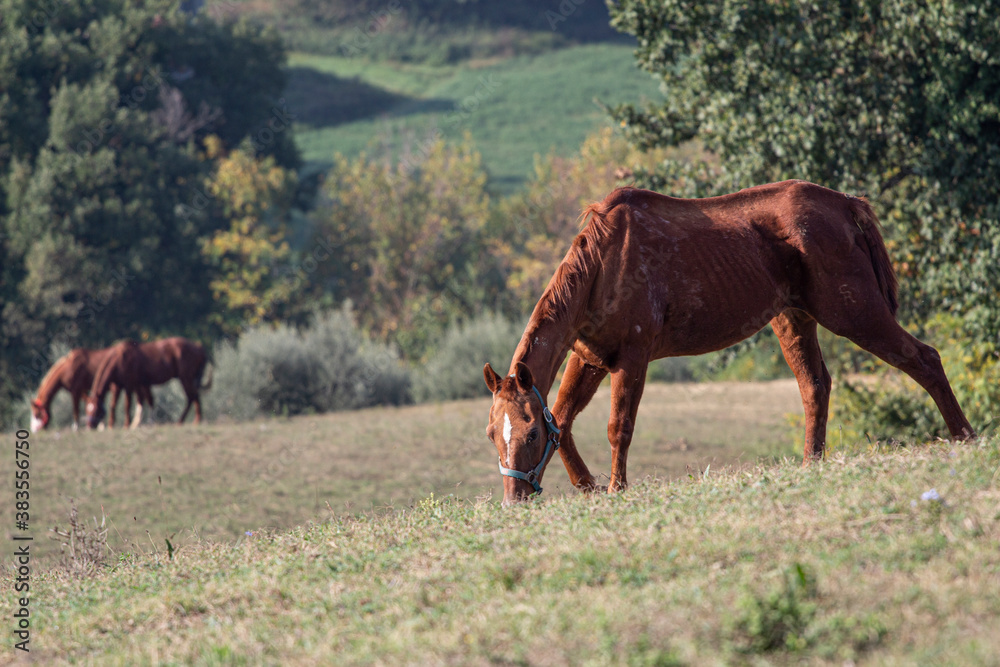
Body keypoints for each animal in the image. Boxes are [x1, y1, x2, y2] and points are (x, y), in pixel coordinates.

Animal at [484, 180, 974, 505]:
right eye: (493, 433)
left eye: (529, 433)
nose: (513, 500)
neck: (603, 266)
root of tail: (845, 205)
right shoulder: (589, 358)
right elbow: (563, 420)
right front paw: (588, 488)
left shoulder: (632, 359)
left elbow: (617, 427)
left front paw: (616, 488)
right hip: (794, 321)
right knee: (815, 386)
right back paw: (810, 464)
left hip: (855, 314)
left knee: (924, 359)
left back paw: (964, 437)